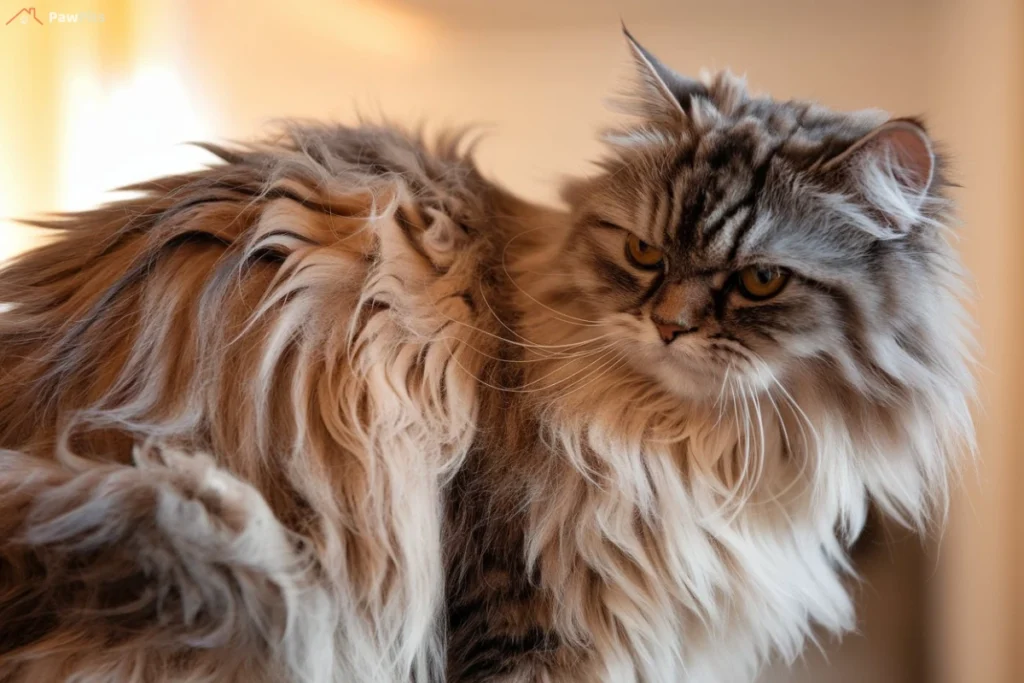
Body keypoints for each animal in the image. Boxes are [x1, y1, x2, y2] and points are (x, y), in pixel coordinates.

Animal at [0, 28, 974, 683]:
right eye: (645, 254)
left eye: (762, 279)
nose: (668, 325)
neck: (692, 442)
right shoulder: (516, 595)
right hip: (219, 533)